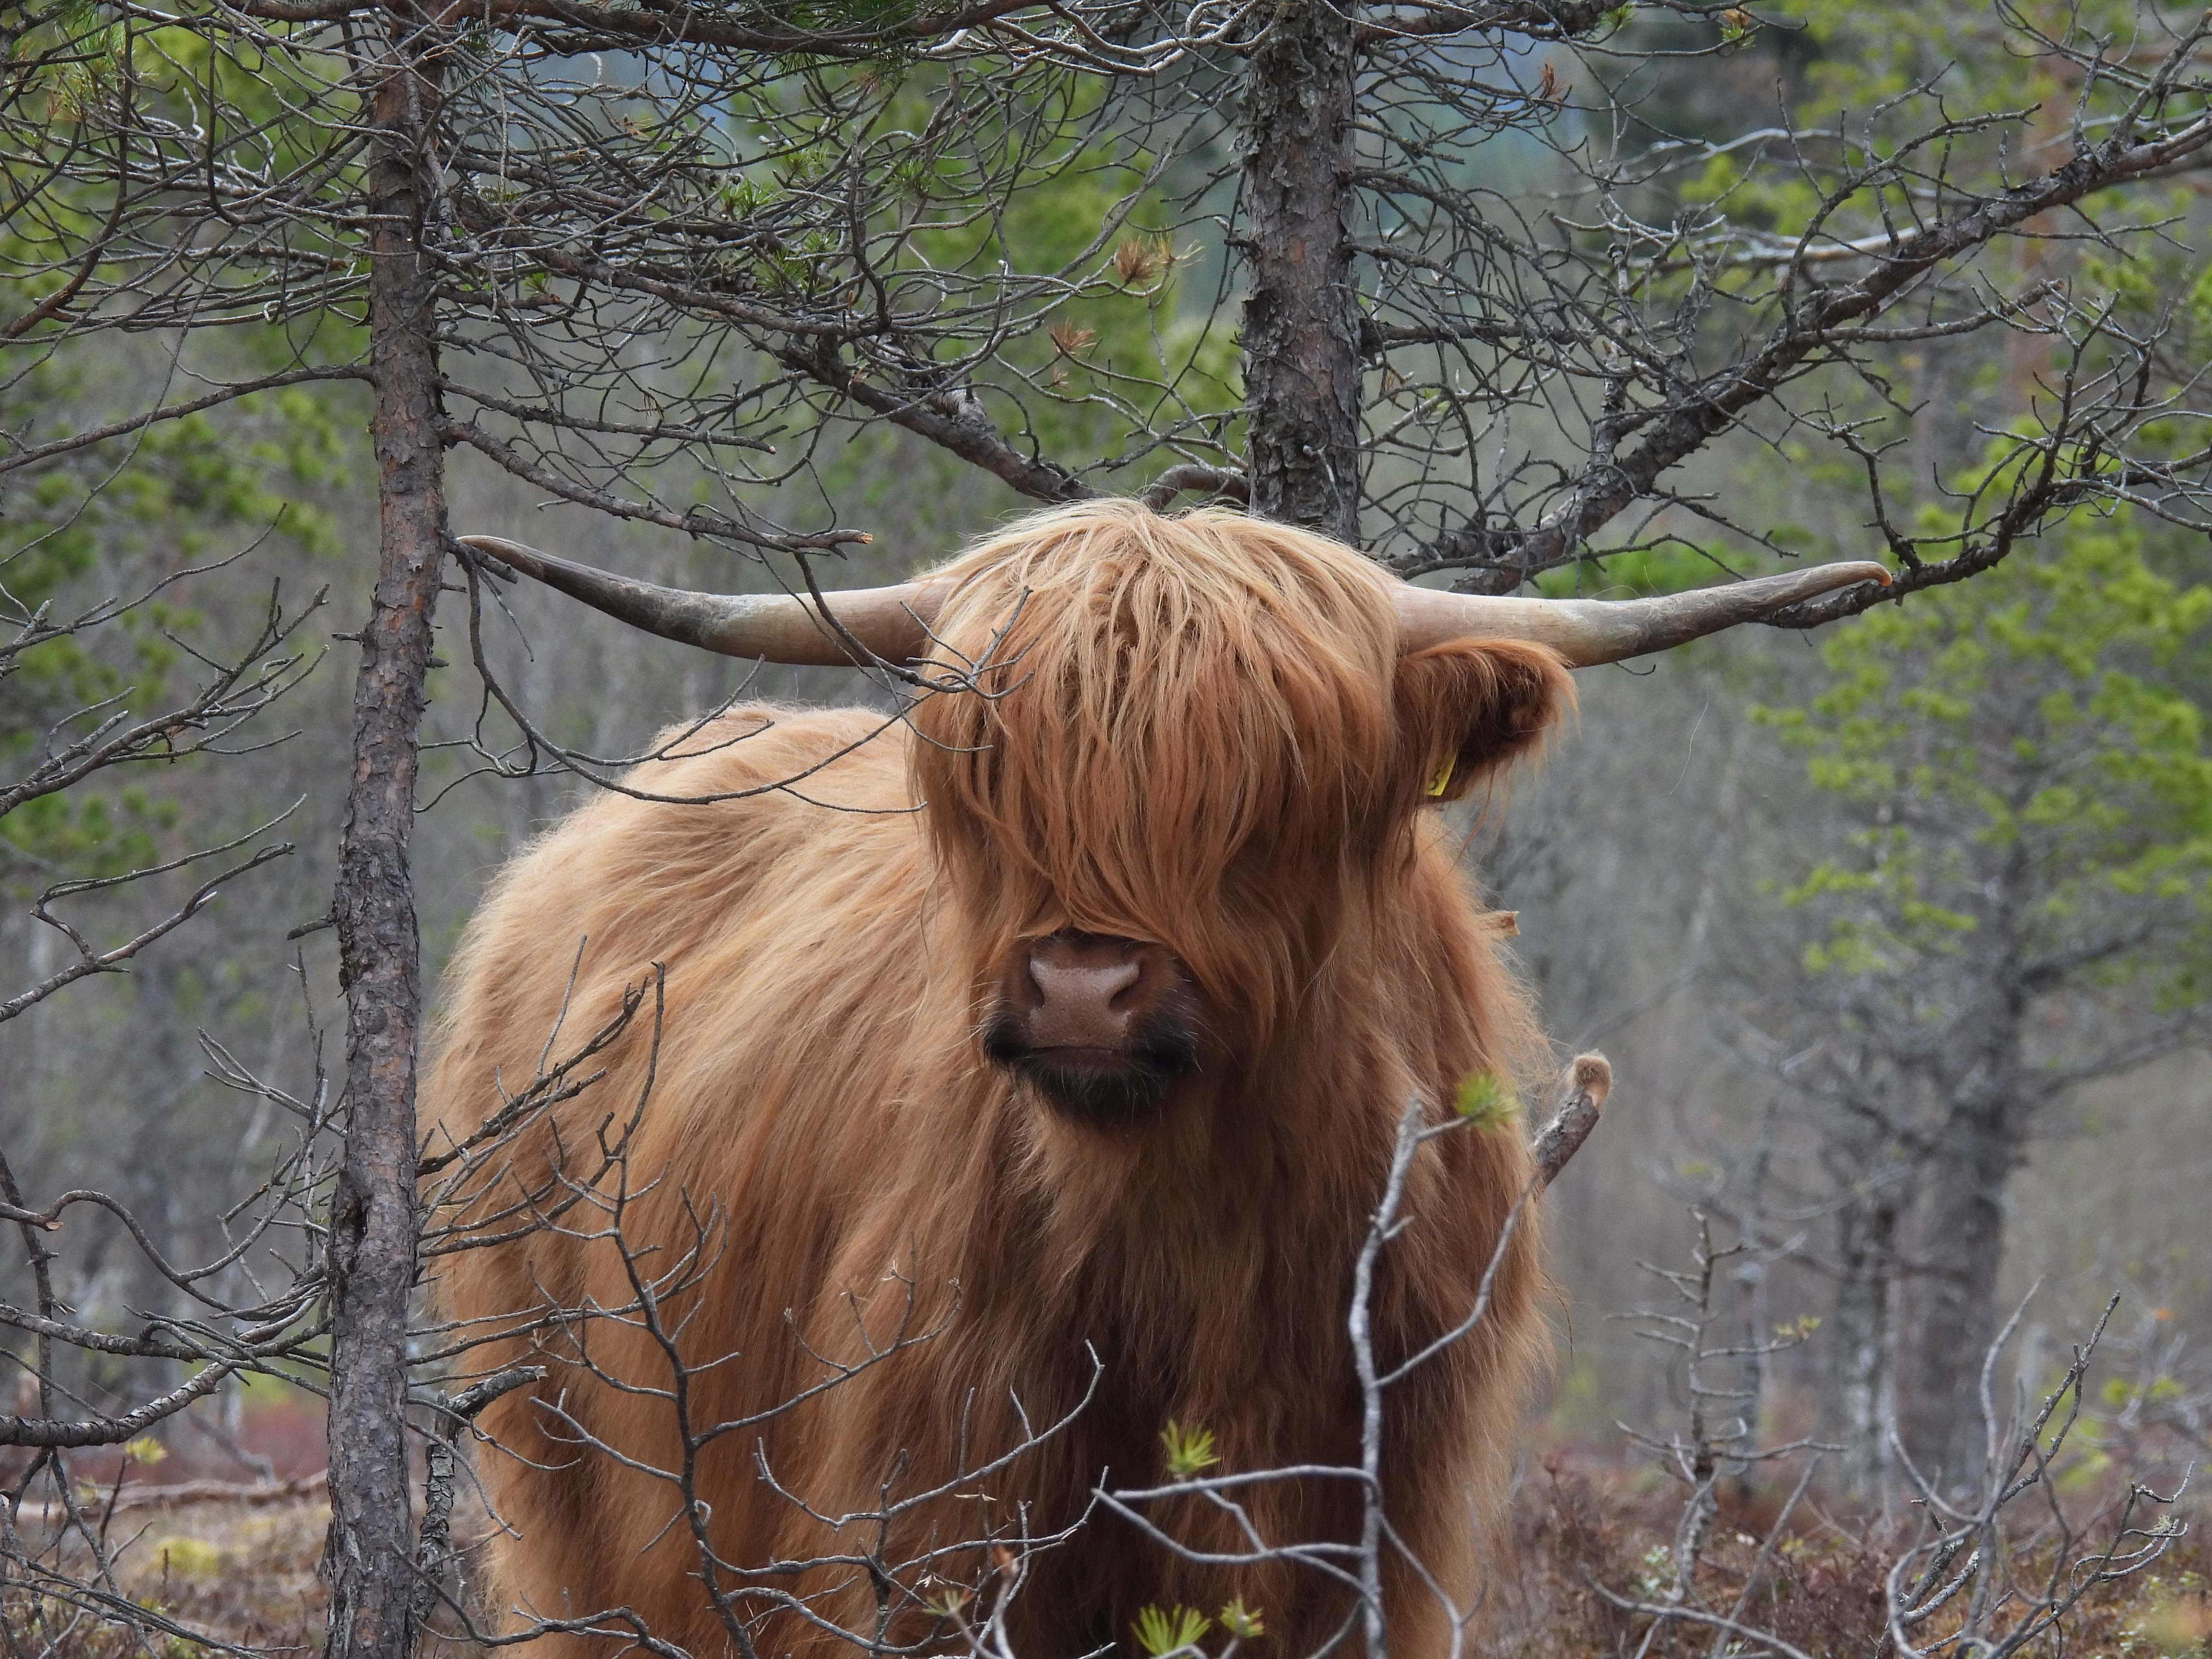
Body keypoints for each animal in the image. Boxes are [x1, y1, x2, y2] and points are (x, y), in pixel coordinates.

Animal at [427, 504, 1885, 1659]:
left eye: (1275, 782)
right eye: (987, 776)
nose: (1081, 988)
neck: (1196, 1235)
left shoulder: (1362, 1530)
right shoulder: (934, 1521)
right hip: (568, 1465)